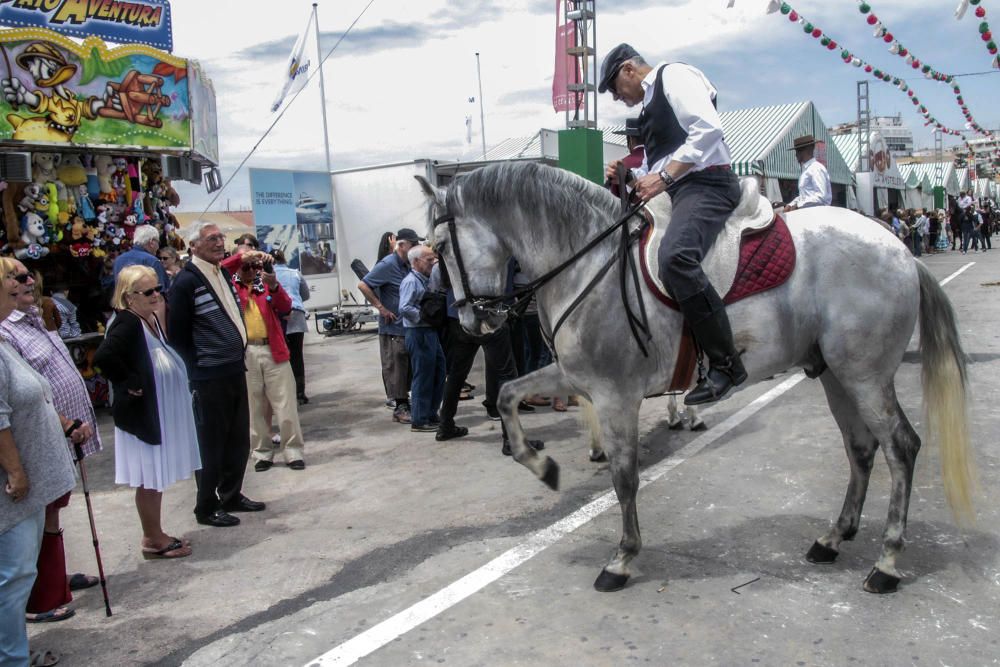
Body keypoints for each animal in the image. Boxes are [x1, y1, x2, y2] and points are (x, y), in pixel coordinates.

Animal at [416, 162, 976, 596]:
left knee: (900, 447)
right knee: (861, 449)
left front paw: (622, 559)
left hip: (864, 375)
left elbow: (624, 477)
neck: (587, 263)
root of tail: (900, 249)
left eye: (440, 245)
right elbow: (508, 396)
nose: (471, 322)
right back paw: (832, 539)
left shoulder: (614, 394)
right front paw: (541, 465)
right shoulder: (577, 378)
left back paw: (887, 563)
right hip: (836, 375)